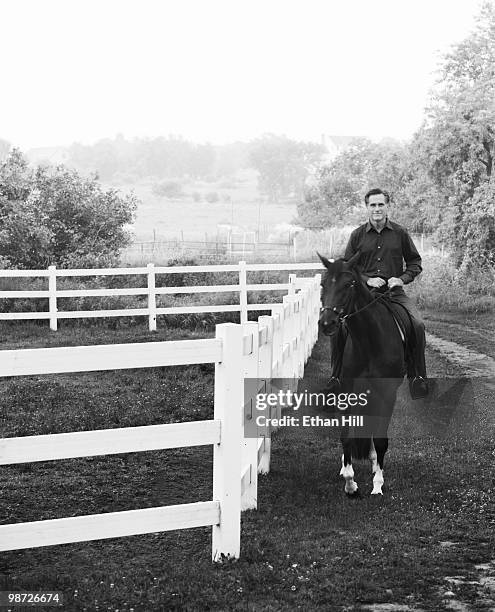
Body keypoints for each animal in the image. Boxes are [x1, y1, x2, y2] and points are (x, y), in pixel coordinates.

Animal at [320, 253, 408, 498]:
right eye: (323, 284)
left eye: (348, 284)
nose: (326, 323)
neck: (369, 339)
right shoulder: (348, 389)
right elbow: (346, 435)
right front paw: (350, 482)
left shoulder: (387, 393)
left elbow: (380, 439)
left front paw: (378, 483)